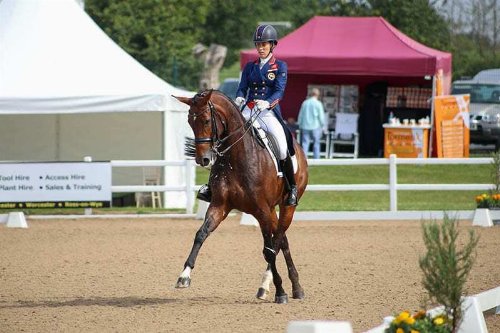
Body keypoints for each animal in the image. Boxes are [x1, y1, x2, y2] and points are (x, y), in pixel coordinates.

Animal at [174, 89, 310, 302]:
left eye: (206, 120)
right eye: (189, 121)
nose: (203, 159)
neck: (237, 157)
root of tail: (299, 149)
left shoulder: (261, 210)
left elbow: (268, 251)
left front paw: (279, 291)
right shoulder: (219, 205)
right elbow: (201, 234)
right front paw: (184, 276)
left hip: (286, 206)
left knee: (277, 240)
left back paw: (269, 285)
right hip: (271, 210)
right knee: (282, 240)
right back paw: (296, 287)